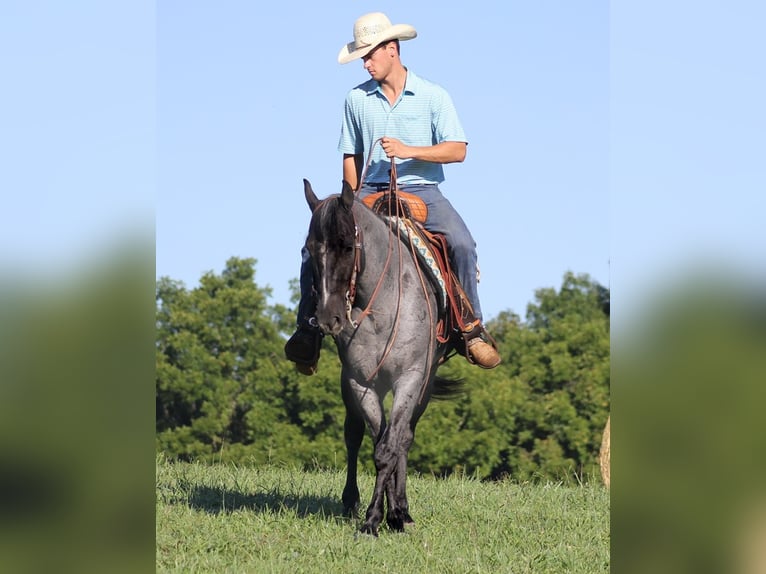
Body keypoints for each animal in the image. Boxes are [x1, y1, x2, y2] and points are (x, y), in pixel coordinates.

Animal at [304, 179, 462, 536]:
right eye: (308, 249)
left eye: (348, 246)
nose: (329, 319)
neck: (383, 307)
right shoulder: (360, 382)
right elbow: (377, 443)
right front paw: (376, 516)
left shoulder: (411, 378)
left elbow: (391, 446)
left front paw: (388, 516)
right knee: (355, 434)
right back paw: (355, 501)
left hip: (424, 385)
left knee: (403, 437)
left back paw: (401, 510)